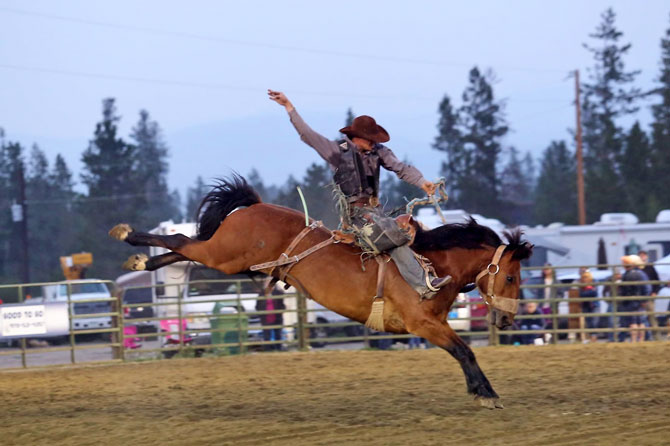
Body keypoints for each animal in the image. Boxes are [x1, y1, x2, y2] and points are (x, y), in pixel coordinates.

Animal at [113, 176, 540, 410]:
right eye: (512, 278)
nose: (508, 319)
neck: (432, 265)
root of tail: (253, 207)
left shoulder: (433, 324)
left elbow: (463, 351)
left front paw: (482, 391)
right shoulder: (422, 324)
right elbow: (464, 351)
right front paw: (486, 394)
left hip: (227, 259)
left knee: (182, 248)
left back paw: (140, 261)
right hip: (225, 256)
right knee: (182, 240)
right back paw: (127, 235)